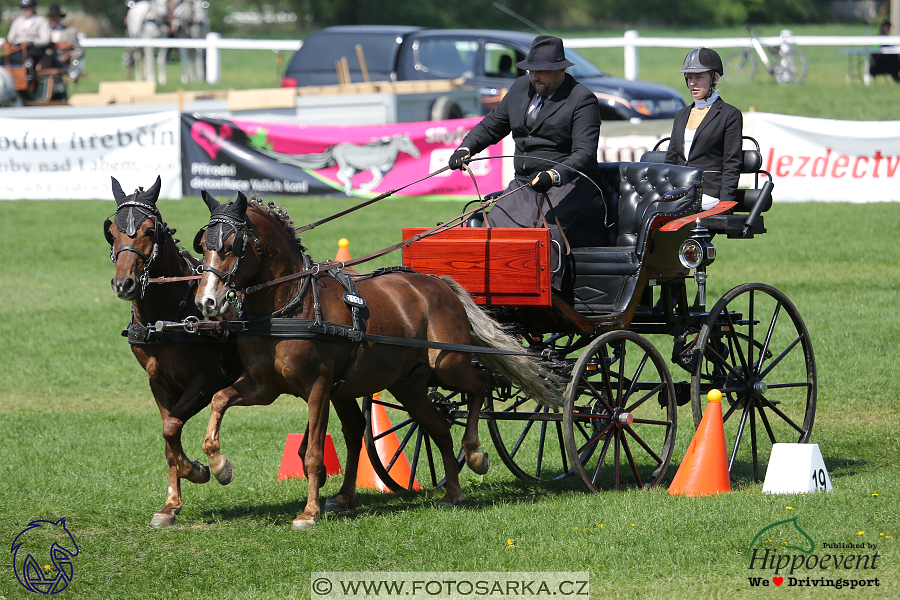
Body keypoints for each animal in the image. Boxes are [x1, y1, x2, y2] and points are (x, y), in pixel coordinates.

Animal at [104, 176, 243, 528]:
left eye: (149, 230)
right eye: (111, 231)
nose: (124, 284)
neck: (166, 316)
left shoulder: (207, 382)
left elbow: (171, 428)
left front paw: (203, 469)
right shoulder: (159, 382)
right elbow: (169, 434)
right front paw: (171, 504)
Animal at [193, 193, 556, 528]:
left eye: (232, 246)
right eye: (203, 247)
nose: (206, 301)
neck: (291, 305)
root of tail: (439, 283)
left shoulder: (317, 387)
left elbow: (312, 453)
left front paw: (309, 513)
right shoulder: (263, 386)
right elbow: (219, 399)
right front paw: (220, 467)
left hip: (448, 364)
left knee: (479, 384)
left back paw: (476, 453)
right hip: (408, 385)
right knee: (437, 428)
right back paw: (450, 493)